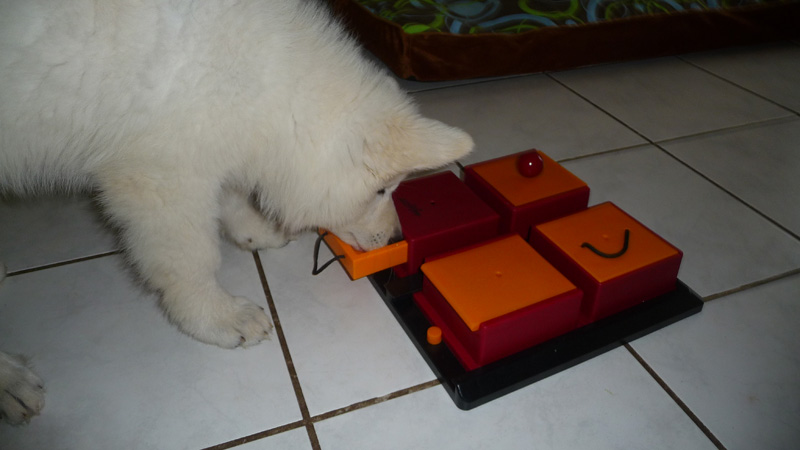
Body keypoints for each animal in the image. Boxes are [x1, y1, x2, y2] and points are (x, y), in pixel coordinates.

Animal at [0, 0, 473, 425]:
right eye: (381, 190)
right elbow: (191, 259)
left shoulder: (213, 145)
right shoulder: (159, 179)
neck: (266, 83)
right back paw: (12, 383)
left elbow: (228, 195)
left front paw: (254, 231)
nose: (396, 240)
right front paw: (219, 316)